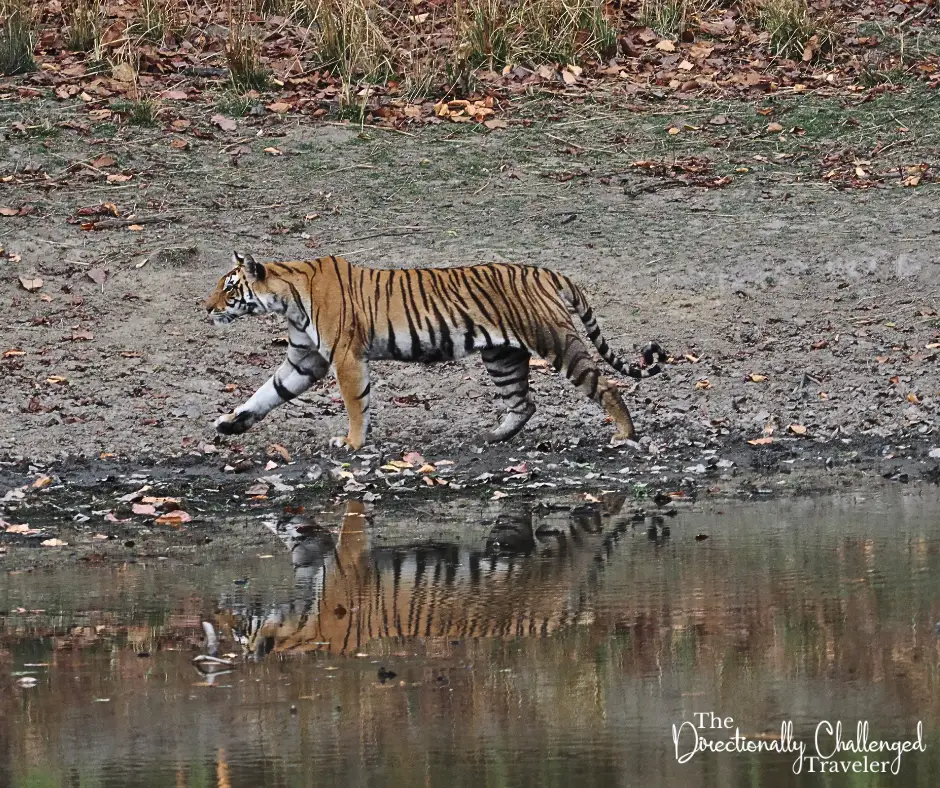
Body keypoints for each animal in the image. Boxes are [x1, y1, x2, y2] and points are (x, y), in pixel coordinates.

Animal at [204, 252, 667, 450]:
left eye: (229, 288)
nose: (206, 307)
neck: (288, 299)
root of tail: (547, 271)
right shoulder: (304, 360)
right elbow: (268, 392)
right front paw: (231, 423)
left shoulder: (346, 358)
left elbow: (355, 404)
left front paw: (351, 443)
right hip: (502, 356)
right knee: (523, 402)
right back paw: (492, 434)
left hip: (555, 342)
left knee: (606, 387)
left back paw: (625, 434)